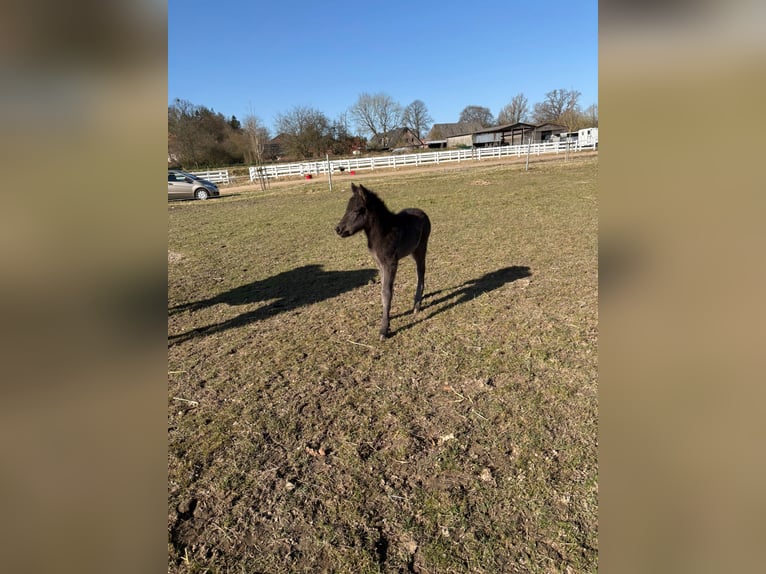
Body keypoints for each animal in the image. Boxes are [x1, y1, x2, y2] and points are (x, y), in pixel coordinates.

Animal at [335, 183, 431, 340]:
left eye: (357, 210)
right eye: (346, 209)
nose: (338, 229)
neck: (383, 233)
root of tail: (423, 212)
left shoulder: (390, 263)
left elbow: (387, 292)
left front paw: (384, 330)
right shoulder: (380, 264)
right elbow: (382, 291)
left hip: (421, 248)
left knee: (421, 271)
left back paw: (417, 305)